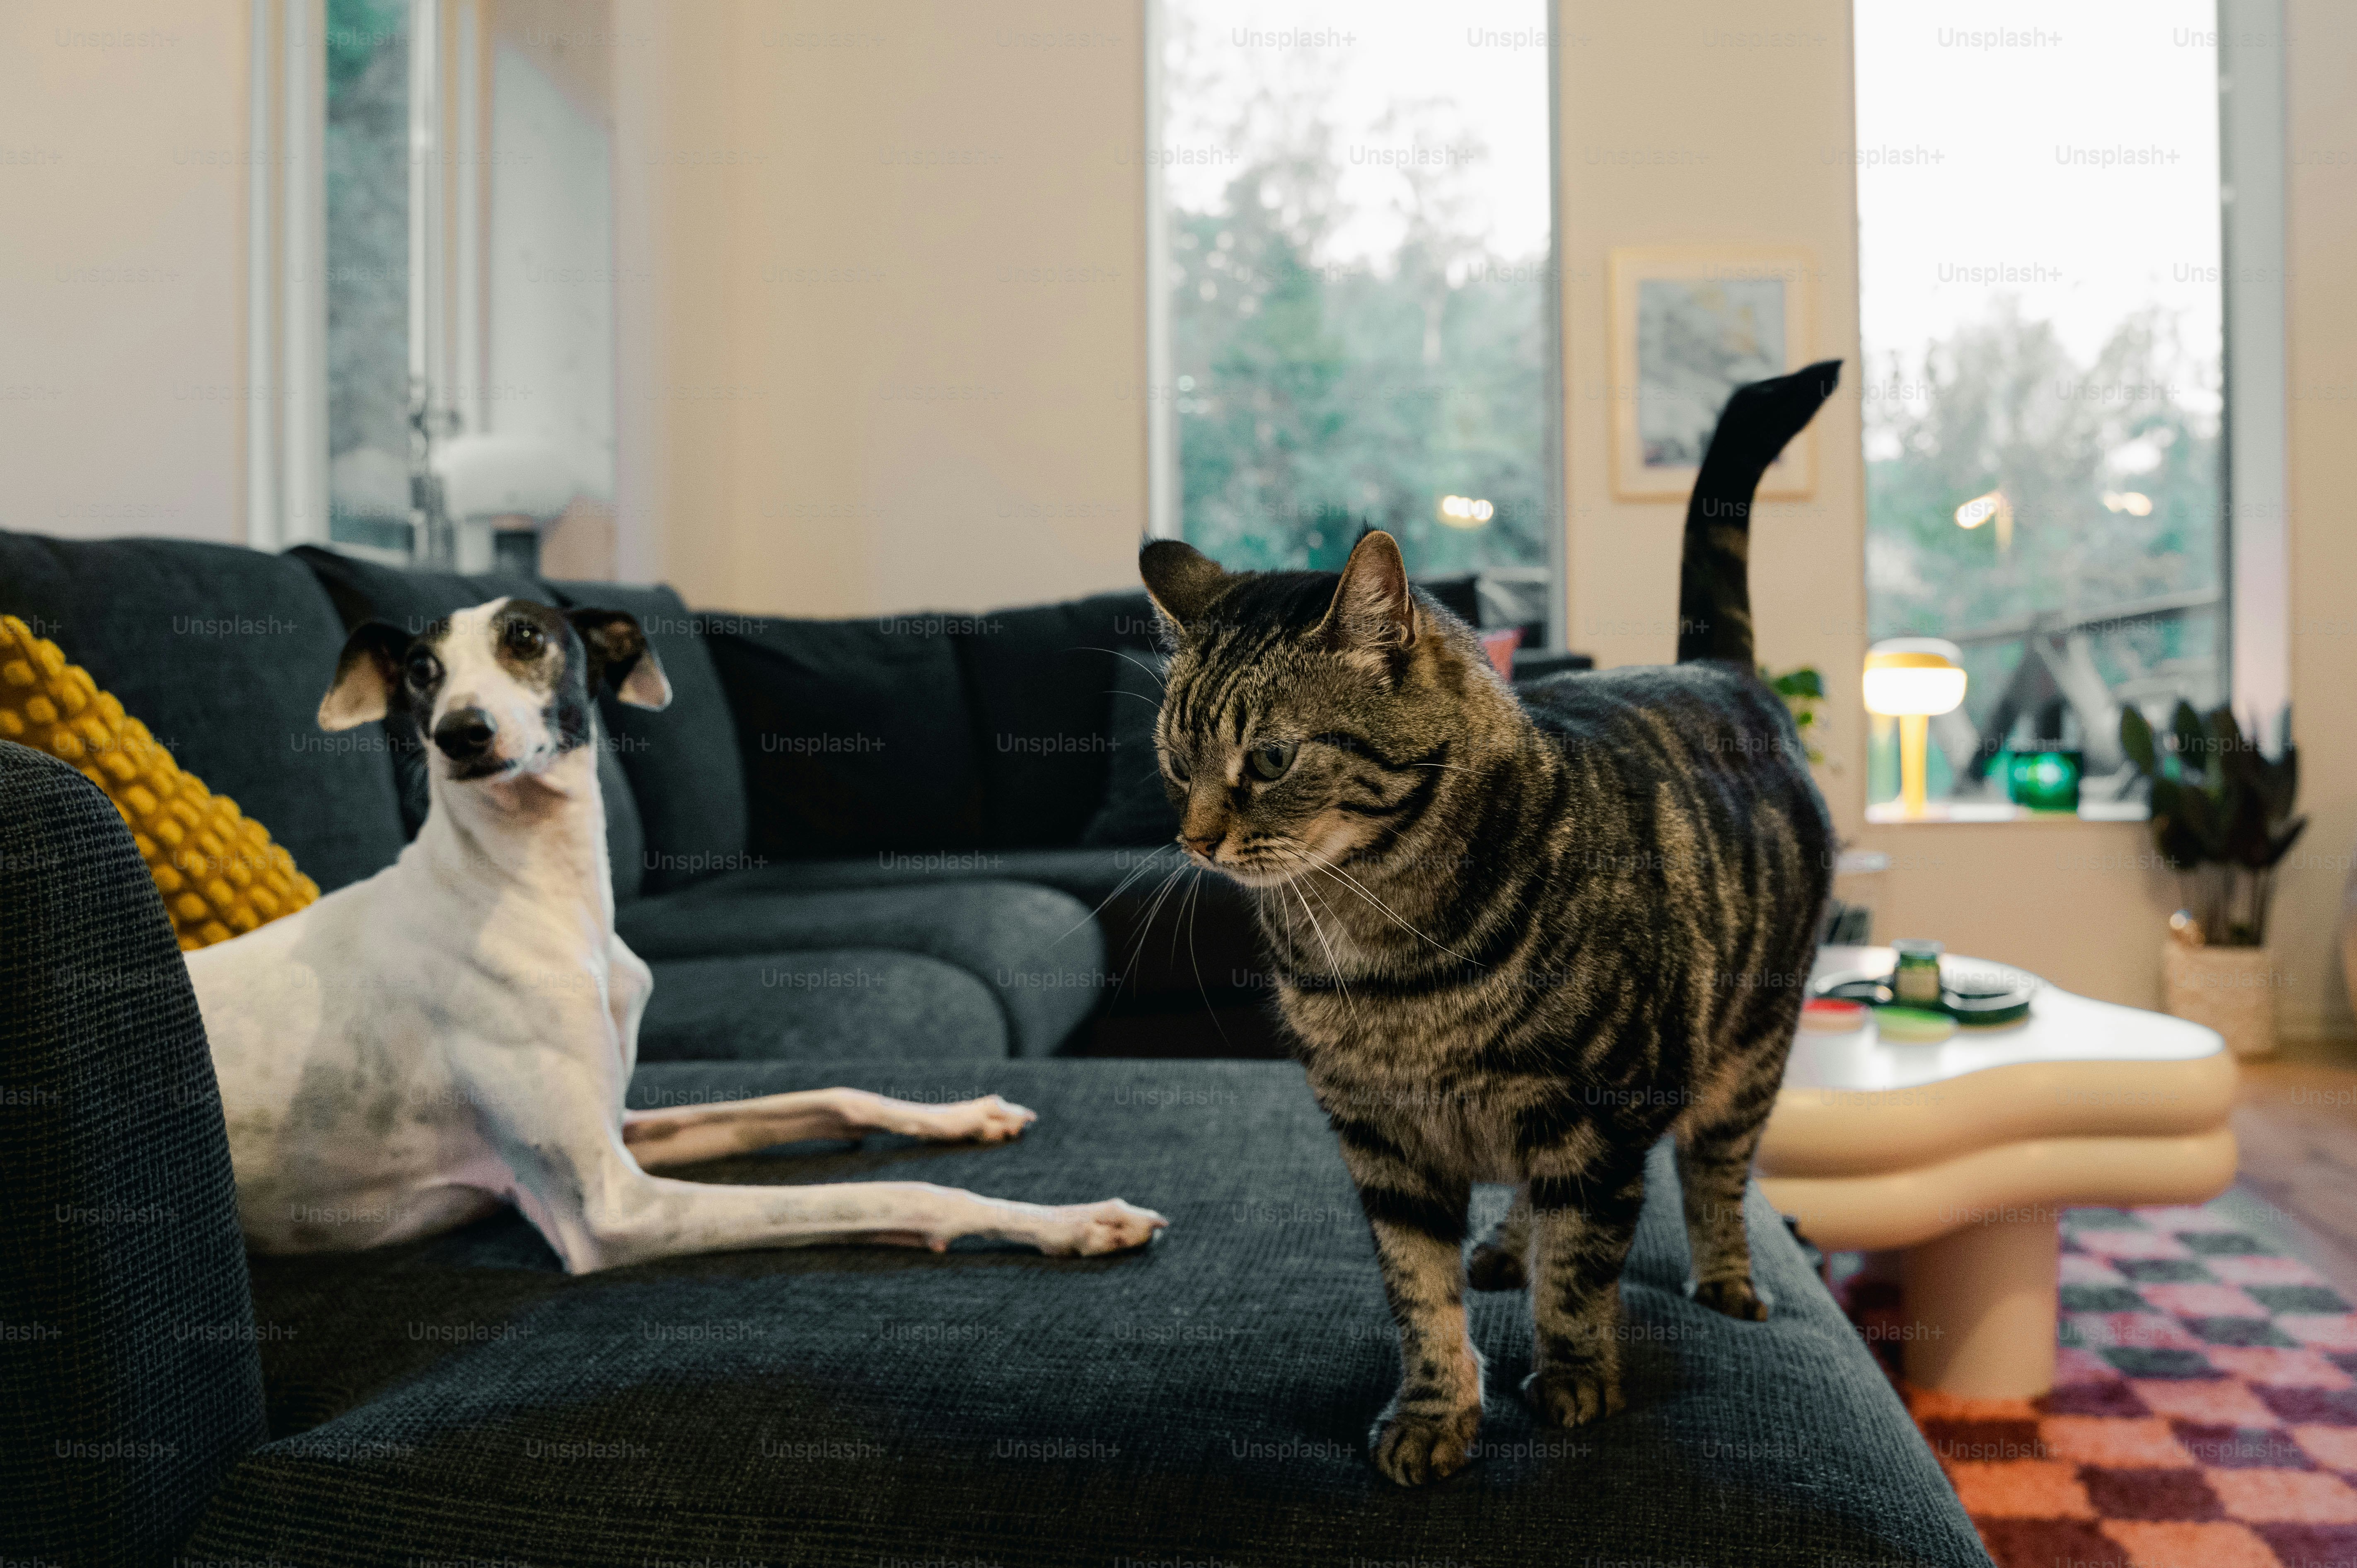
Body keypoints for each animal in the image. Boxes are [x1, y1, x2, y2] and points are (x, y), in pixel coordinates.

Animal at [184, 599, 1169, 1273]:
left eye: (526, 638)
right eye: (422, 668)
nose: (462, 734)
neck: (531, 895)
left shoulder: (623, 1127)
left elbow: (834, 1094)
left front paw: (965, 1113)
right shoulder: (611, 1207)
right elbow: (894, 1188)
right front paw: (1073, 1220)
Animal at [1136, 360, 1838, 1490]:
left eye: (1271, 759)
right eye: (1173, 761)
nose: (1194, 840)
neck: (1377, 951)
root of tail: (1719, 671)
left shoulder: (1602, 1114)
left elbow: (1582, 1271)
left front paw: (1574, 1376)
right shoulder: (1381, 1141)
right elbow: (1419, 1293)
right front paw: (1434, 1409)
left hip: (1747, 1056)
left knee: (1713, 1175)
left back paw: (1724, 1274)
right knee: (1530, 1199)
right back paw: (1507, 1242)